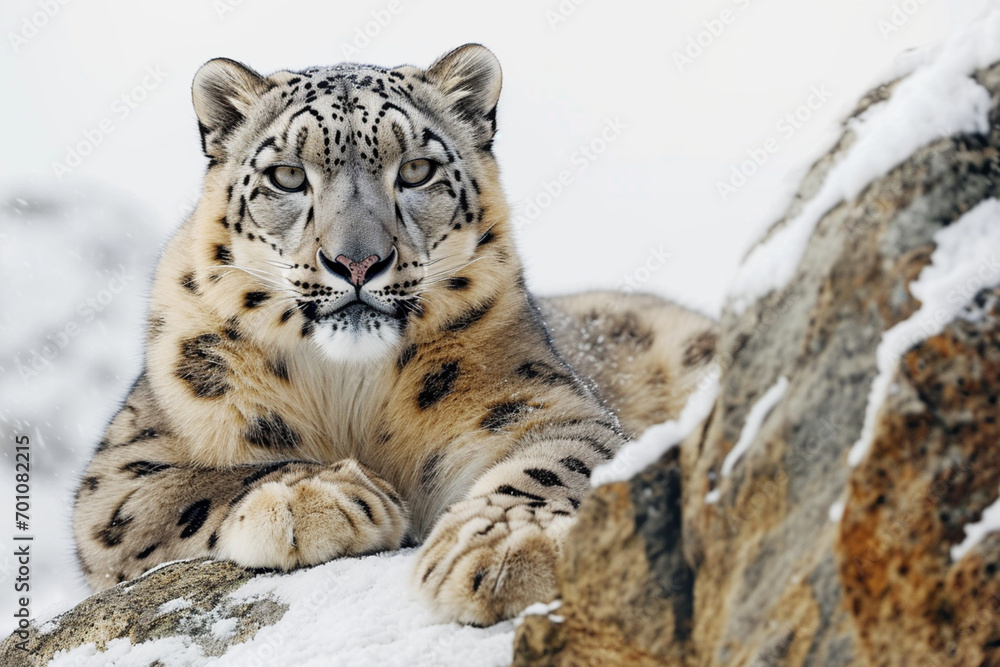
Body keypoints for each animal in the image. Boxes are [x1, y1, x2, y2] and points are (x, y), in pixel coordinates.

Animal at [71, 43, 716, 626]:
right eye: (287, 176)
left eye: (415, 170)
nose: (357, 261)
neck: (347, 390)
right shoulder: (120, 470)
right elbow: (186, 486)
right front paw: (311, 498)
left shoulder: (545, 401)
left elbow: (562, 458)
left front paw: (500, 545)